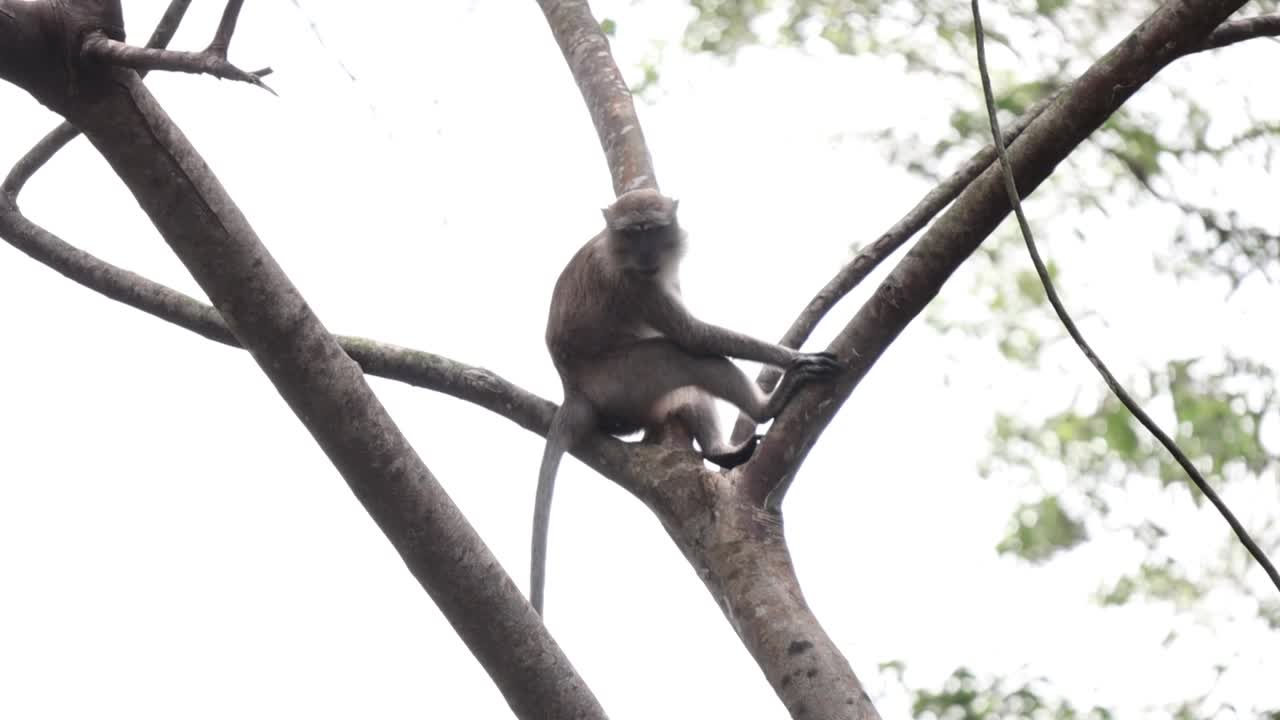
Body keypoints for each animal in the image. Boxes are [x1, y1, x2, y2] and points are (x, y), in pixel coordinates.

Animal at [530, 188, 842, 615]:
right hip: (622, 381)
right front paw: (794, 359)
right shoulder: (636, 286)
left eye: (652, 230)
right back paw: (768, 406)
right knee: (683, 356)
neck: (620, 253)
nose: (647, 254)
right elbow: (696, 337)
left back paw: (718, 450)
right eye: (634, 233)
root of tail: (573, 391)